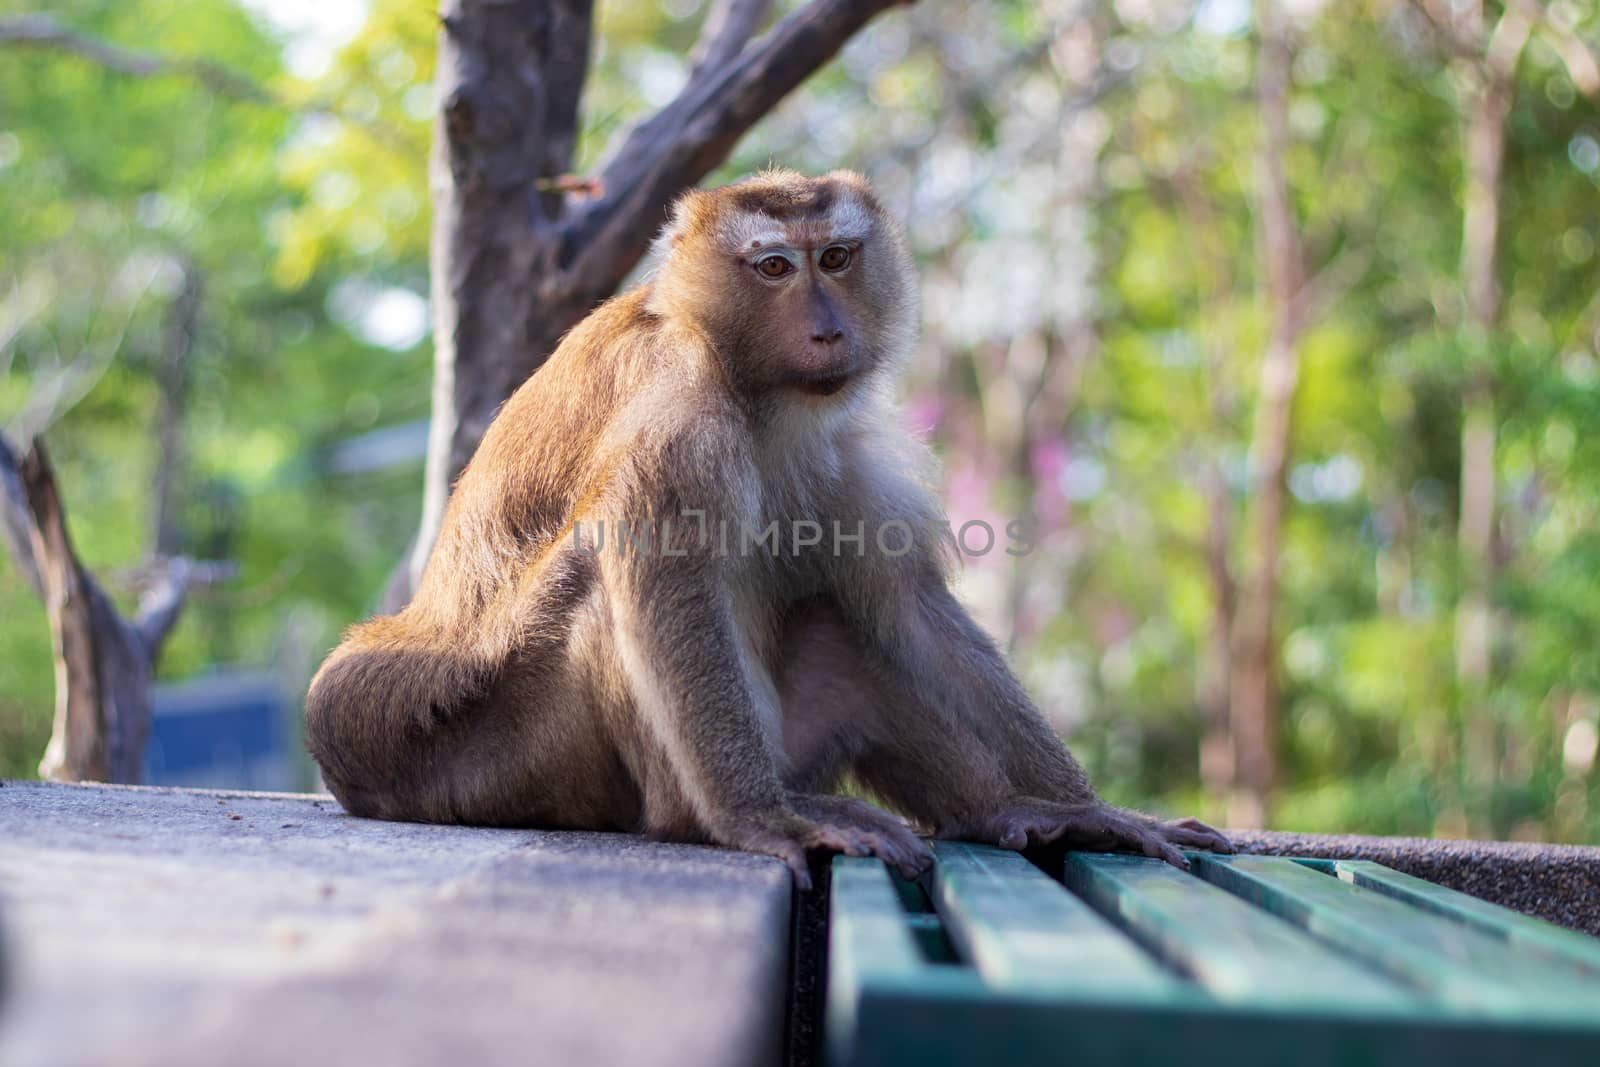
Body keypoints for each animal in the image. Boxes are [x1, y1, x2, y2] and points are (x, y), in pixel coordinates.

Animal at [305, 168, 1228, 883]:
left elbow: (909, 606)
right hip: (499, 759)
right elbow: (665, 578)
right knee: (608, 580)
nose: (827, 328)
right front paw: (762, 822)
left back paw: (1006, 811)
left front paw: (1088, 808)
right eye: (775, 267)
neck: (751, 386)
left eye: (838, 258)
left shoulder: (846, 447)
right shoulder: (677, 418)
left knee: (848, 623)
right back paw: (704, 816)